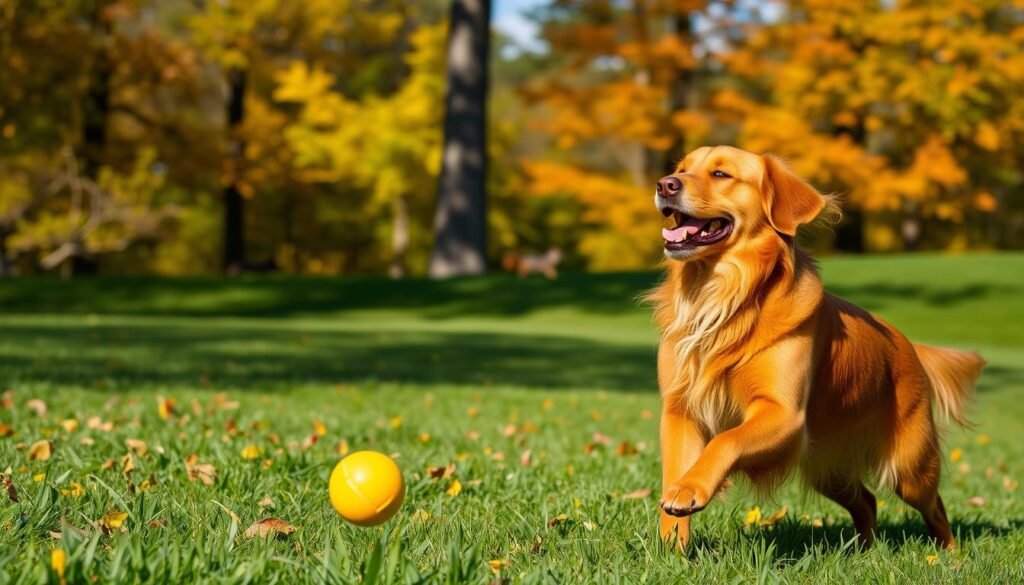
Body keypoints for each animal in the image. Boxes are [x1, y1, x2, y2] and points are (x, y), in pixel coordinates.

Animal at [647, 145, 983, 549]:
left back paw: (949, 554)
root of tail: (908, 345)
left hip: (910, 467)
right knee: (866, 501)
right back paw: (862, 551)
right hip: (829, 470)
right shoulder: (680, 409)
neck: (722, 295)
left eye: (721, 174)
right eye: (681, 169)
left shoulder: (783, 413)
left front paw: (690, 491)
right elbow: (676, 476)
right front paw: (672, 547)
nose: (665, 184)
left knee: (935, 506)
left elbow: (726, 440)